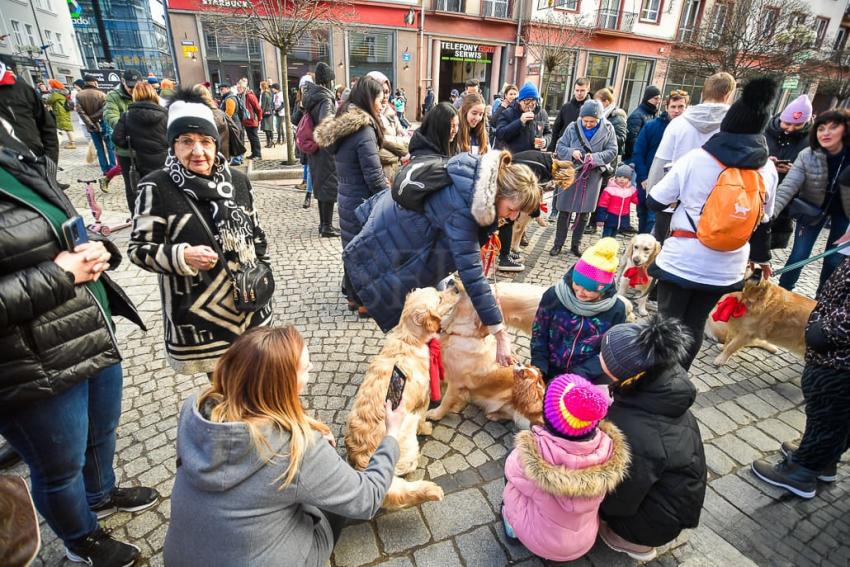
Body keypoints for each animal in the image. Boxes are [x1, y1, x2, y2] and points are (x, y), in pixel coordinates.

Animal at [342, 288, 458, 510]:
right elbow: (423, 417)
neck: (408, 337)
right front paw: (426, 427)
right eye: (439, 297)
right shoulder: (423, 400)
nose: (455, 286)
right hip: (406, 430)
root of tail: (361, 457)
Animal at [428, 282, 548, 428]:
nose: (451, 281)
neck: (460, 334)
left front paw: (436, 414)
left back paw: (494, 415)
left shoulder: (456, 383)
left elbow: (446, 401)